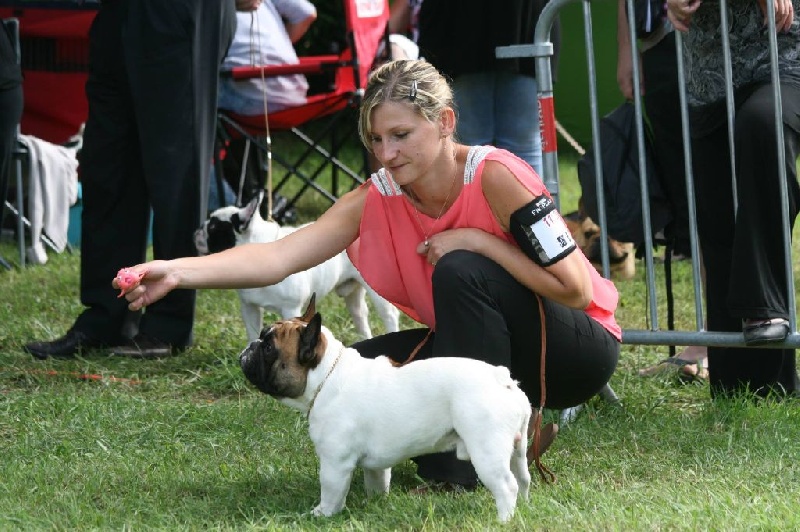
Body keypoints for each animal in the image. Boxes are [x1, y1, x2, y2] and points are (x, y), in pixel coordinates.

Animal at [195, 195, 400, 340]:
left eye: (212, 228)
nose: (198, 229)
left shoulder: (291, 309)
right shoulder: (249, 307)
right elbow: (252, 333)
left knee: (389, 315)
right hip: (353, 294)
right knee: (359, 315)